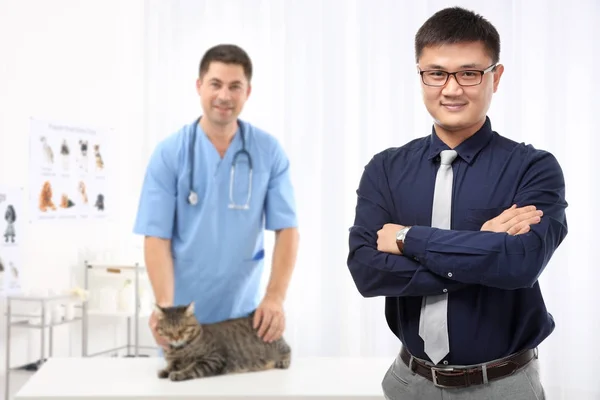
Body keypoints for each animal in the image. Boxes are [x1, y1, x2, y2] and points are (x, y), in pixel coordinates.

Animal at [155, 304, 290, 382]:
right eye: (167, 330)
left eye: (182, 329)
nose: (175, 338)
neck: (179, 349)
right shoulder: (174, 361)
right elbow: (171, 366)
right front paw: (164, 371)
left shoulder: (213, 358)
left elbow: (192, 367)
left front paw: (179, 374)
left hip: (279, 347)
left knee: (288, 350)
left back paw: (283, 362)